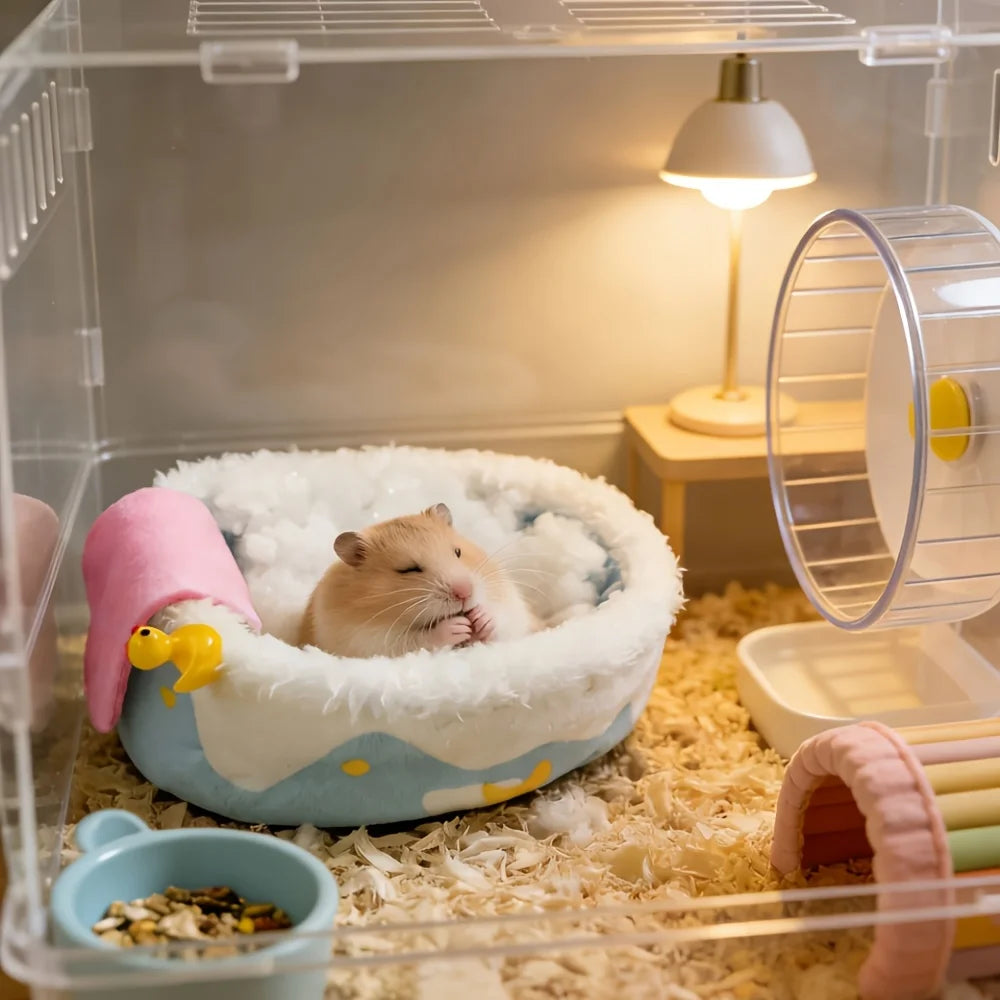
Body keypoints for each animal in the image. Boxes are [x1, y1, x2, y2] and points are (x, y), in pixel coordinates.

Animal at [299, 503, 540, 659]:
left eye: (458, 552)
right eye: (408, 569)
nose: (465, 593)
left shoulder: (512, 608)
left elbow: (502, 619)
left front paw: (482, 617)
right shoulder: (369, 641)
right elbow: (418, 640)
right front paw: (458, 627)